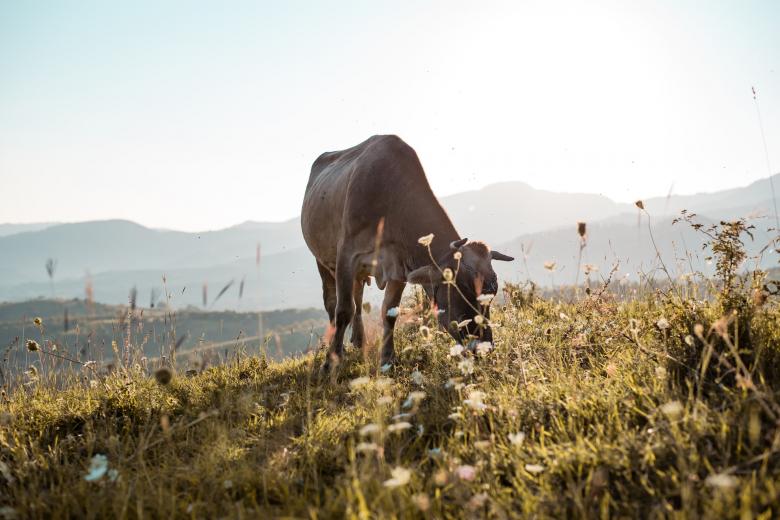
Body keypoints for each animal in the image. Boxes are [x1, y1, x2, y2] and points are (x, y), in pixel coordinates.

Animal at [302, 135, 516, 374]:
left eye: (493, 292)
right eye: (461, 289)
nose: (484, 347)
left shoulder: (397, 265)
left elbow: (389, 312)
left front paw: (387, 360)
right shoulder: (347, 257)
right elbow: (344, 310)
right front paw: (331, 363)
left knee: (357, 300)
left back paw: (359, 342)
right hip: (323, 261)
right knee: (334, 305)